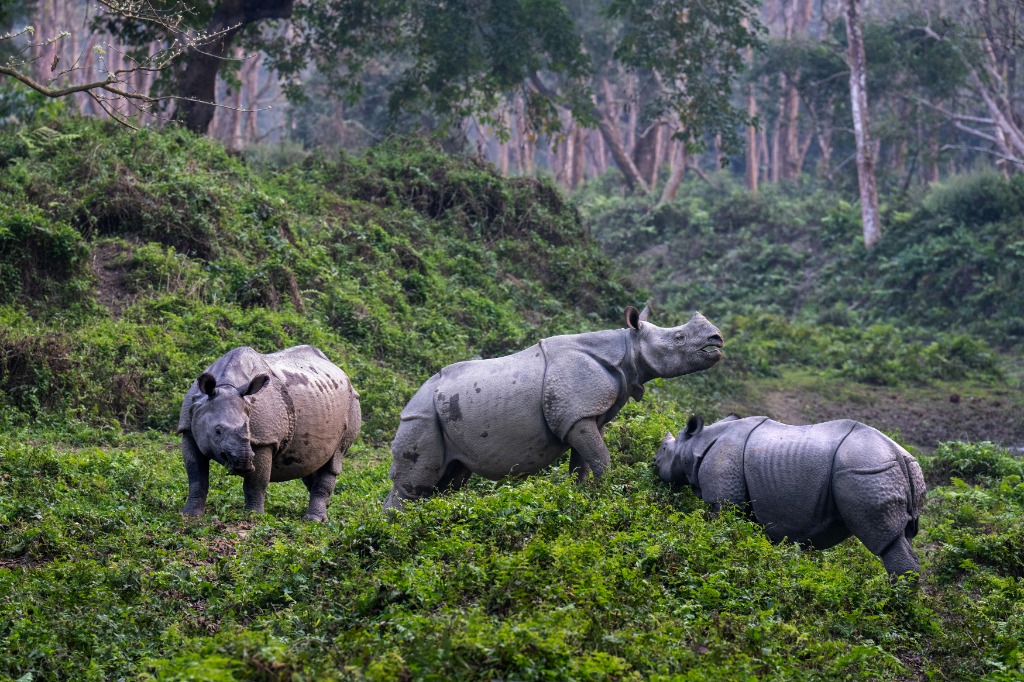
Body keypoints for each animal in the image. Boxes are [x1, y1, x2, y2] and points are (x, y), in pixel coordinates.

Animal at [177, 345, 361, 521]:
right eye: (217, 431)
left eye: (249, 428)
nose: (245, 461)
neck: (226, 385)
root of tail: (343, 373)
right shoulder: (188, 429)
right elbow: (196, 476)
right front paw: (190, 515)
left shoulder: (264, 439)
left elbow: (256, 482)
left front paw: (253, 517)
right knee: (311, 461)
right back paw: (325, 509)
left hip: (353, 403)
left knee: (335, 459)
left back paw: (314, 520)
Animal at [384, 304, 723, 509]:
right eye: (678, 337)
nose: (717, 340)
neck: (627, 349)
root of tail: (411, 400)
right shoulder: (576, 415)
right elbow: (602, 460)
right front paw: (608, 496)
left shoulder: (584, 416)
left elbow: (582, 465)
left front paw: (582, 497)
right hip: (421, 416)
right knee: (414, 484)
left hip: (444, 413)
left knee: (449, 480)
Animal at [654, 415, 927, 578]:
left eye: (664, 449)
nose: (653, 463)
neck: (696, 444)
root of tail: (898, 454)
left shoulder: (724, 496)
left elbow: (720, 528)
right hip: (888, 470)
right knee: (903, 535)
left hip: (867, 470)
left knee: (884, 539)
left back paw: (895, 605)